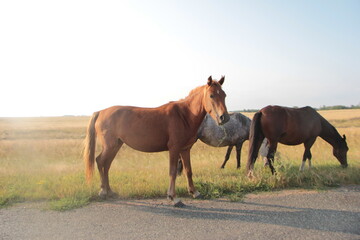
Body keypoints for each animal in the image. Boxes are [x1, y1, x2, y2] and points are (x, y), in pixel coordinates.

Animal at [83, 76, 229, 206]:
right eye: (211, 95)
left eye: (224, 95)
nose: (224, 118)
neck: (184, 115)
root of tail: (101, 112)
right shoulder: (174, 149)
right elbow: (172, 172)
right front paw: (173, 197)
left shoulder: (185, 149)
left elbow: (188, 171)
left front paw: (194, 192)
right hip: (110, 145)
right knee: (100, 161)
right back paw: (103, 191)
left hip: (116, 145)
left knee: (106, 165)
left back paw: (109, 191)